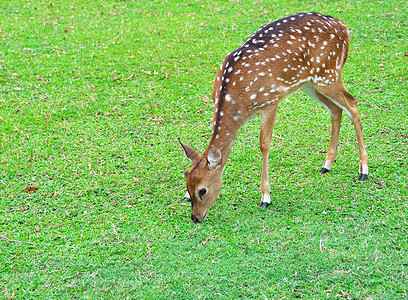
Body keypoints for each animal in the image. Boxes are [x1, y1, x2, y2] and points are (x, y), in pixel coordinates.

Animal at [178, 12, 370, 223]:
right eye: (187, 185)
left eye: (202, 190)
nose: (195, 217)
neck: (235, 100)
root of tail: (344, 28)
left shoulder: (270, 101)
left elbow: (264, 144)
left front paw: (265, 197)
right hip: (310, 83)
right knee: (335, 109)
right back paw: (326, 164)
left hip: (328, 74)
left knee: (353, 103)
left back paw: (363, 170)